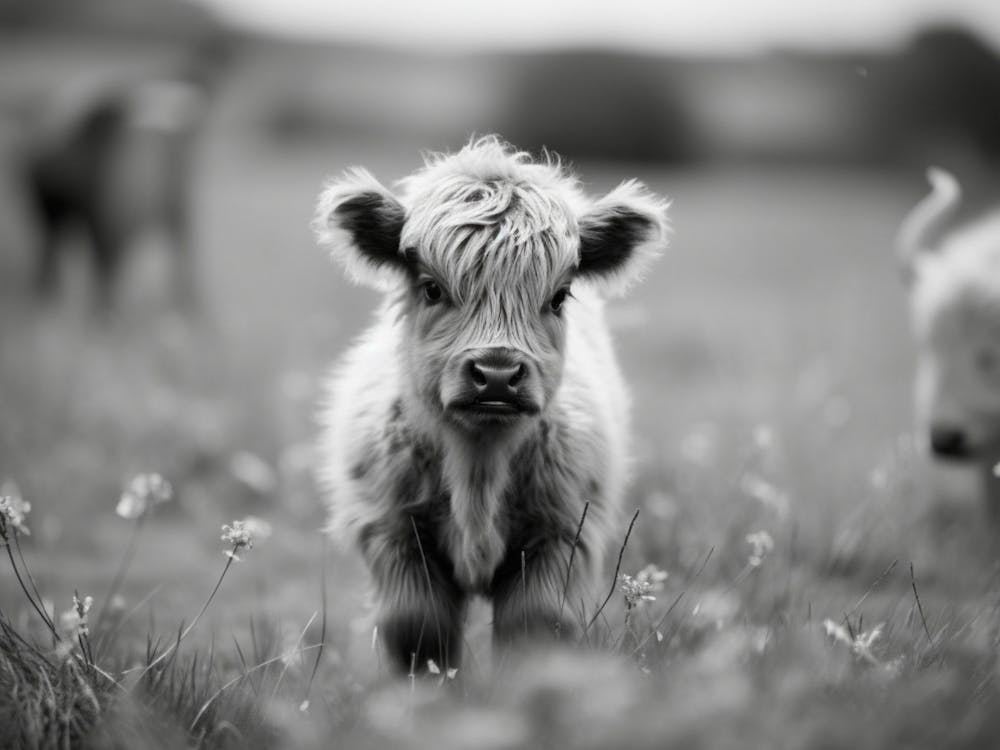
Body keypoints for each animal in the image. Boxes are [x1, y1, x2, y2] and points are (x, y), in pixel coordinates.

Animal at [313, 137, 670, 673]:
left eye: (559, 296)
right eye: (432, 288)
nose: (498, 374)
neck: (477, 467)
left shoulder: (560, 535)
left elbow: (534, 628)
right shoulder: (392, 533)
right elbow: (419, 630)